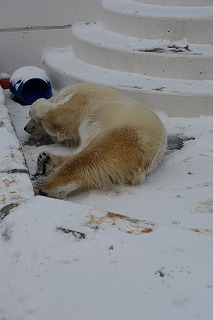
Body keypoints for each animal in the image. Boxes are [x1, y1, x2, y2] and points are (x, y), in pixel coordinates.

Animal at [25, 82, 167, 198]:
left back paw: (46, 187)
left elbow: (61, 115)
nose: (26, 127)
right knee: (85, 154)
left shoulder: (83, 98)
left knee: (91, 157)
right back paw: (46, 161)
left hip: (123, 133)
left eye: (33, 120)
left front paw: (35, 106)